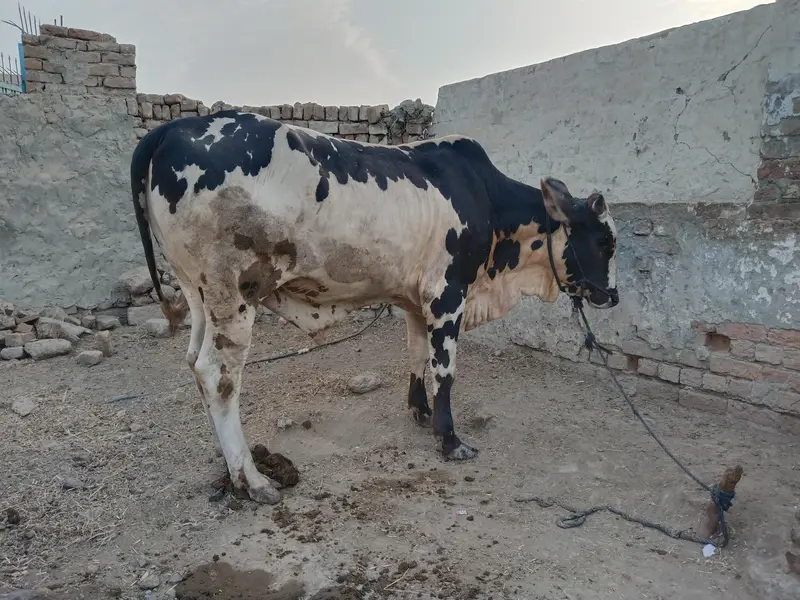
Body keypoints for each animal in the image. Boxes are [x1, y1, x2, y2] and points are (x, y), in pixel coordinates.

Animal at [130, 110, 619, 504]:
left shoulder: (415, 298)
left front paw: (420, 412)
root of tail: (172, 128)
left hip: (199, 295)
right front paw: (450, 439)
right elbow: (445, 369)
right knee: (218, 375)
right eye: (604, 241)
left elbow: (417, 355)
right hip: (234, 296)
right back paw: (251, 479)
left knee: (195, 363)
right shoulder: (447, 293)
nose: (611, 295)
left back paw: (229, 461)